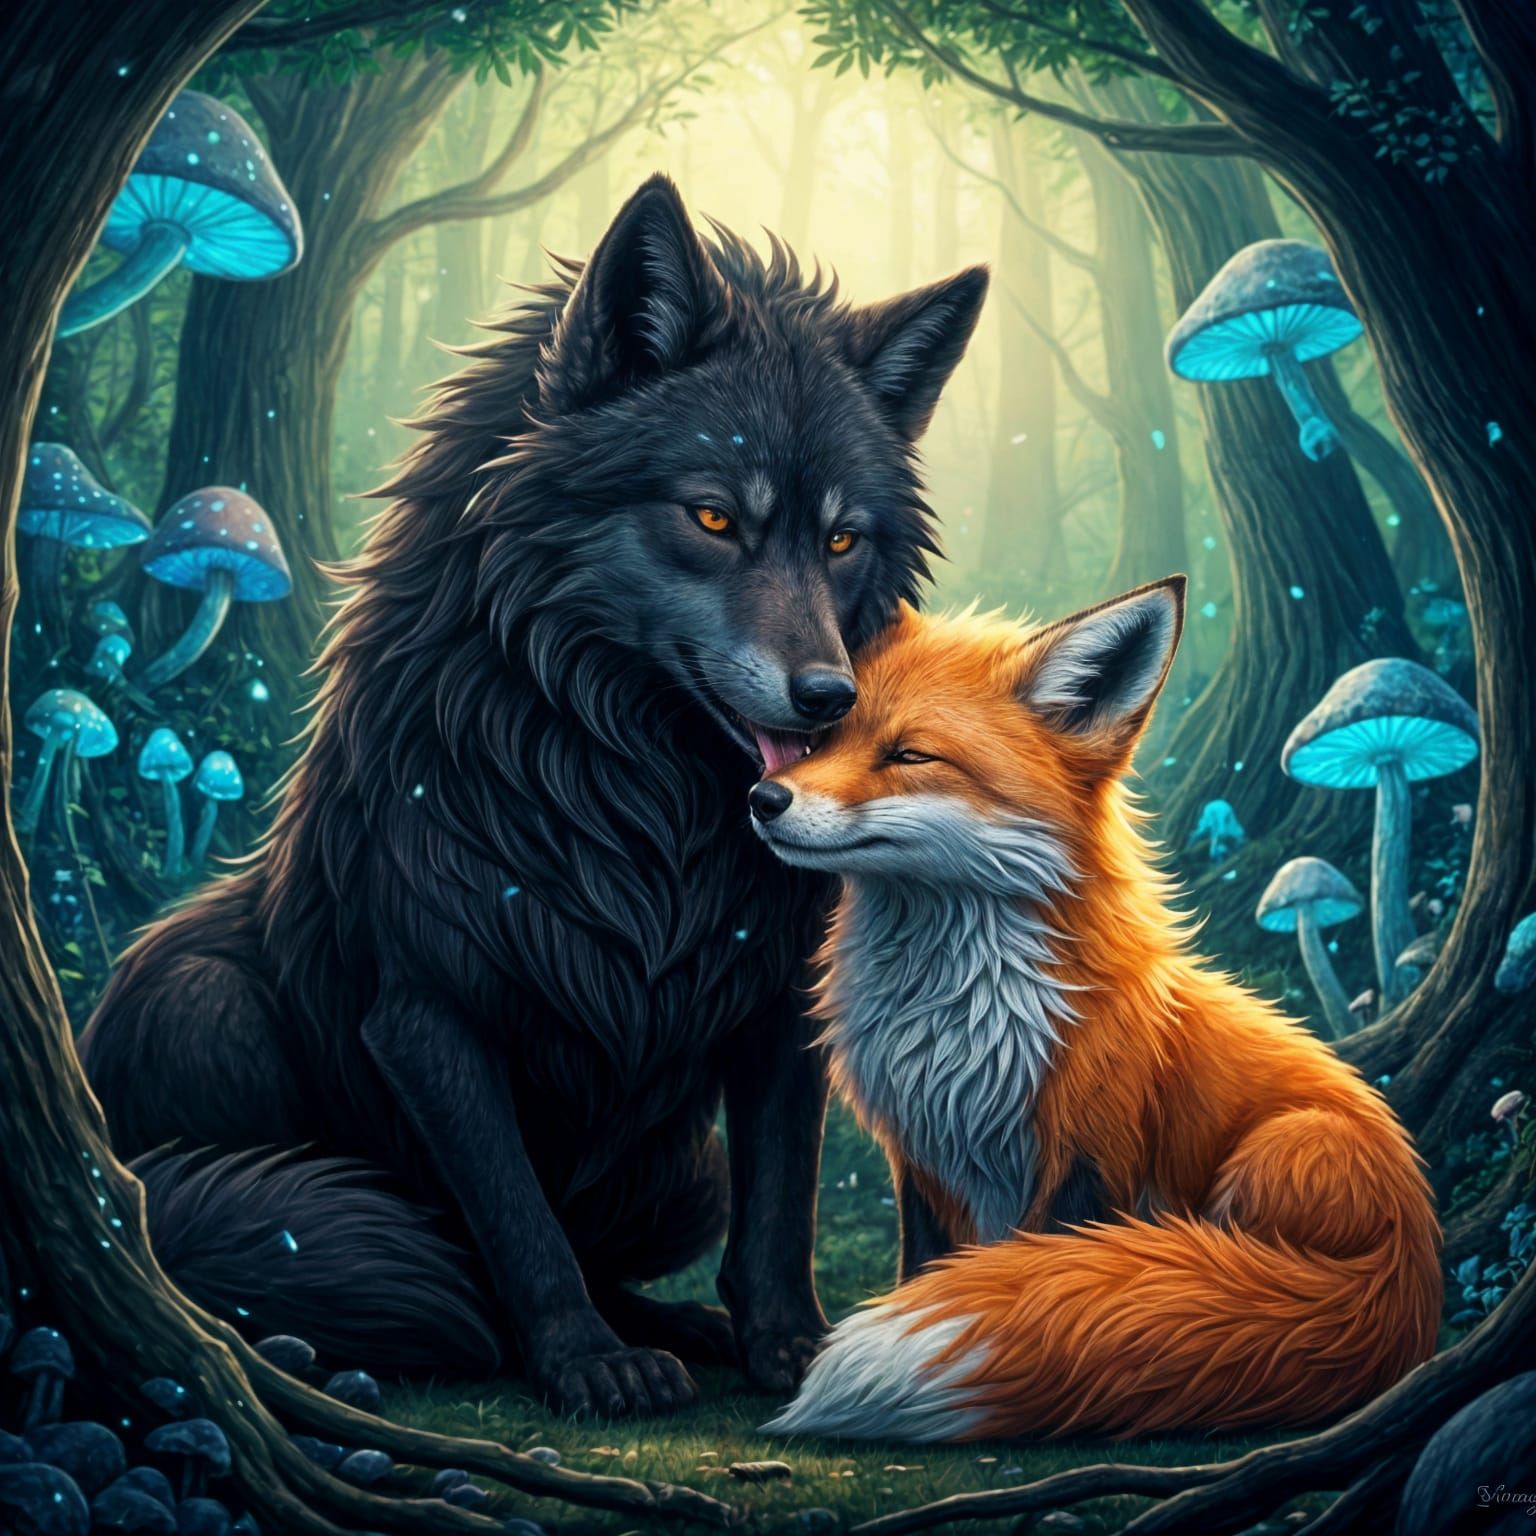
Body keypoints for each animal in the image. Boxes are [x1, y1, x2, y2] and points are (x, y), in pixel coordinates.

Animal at [80, 176, 988, 1417]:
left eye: (843, 539)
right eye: (714, 517)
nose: (828, 699)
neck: (634, 802)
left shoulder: (775, 1000)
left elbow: (779, 1204)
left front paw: (789, 1347)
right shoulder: (425, 1013)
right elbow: (515, 1216)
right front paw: (584, 1362)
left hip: (683, 1174)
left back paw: (681, 1328)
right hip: (195, 1008)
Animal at [748, 578, 1442, 1441]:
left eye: (910, 755)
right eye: (821, 739)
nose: (763, 798)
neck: (956, 1022)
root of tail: (1415, 1271)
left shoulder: (1088, 1153)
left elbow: (1051, 1273)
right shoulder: (922, 1158)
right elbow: (927, 1268)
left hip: (1280, 1153)